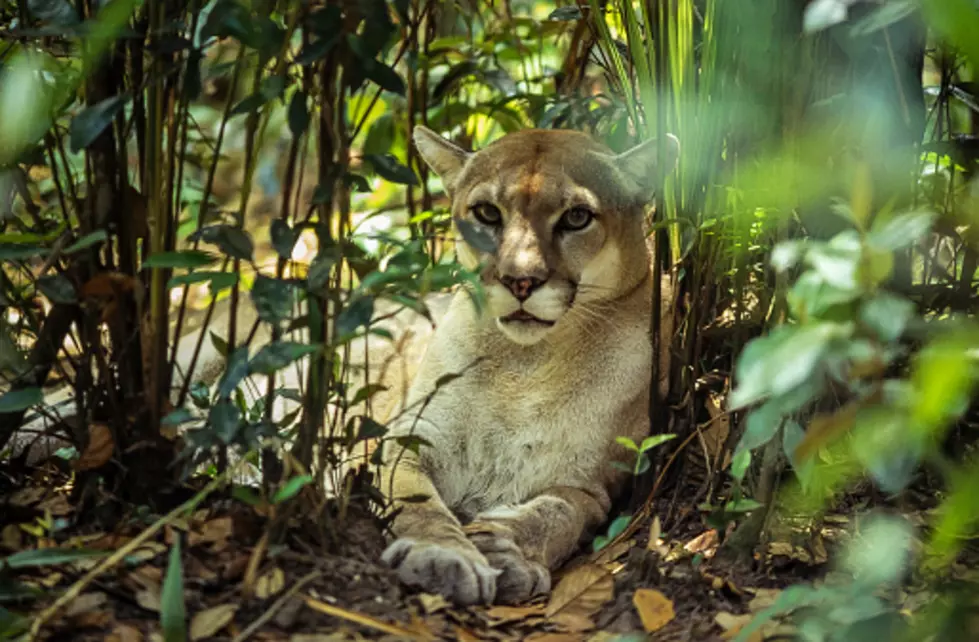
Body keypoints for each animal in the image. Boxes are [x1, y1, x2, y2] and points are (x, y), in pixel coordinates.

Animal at [378, 126, 676, 604]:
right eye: (487, 212)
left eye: (576, 217)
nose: (520, 281)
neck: (524, 365)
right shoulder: (407, 439)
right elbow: (414, 500)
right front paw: (442, 556)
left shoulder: (590, 482)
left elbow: (557, 512)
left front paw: (503, 547)